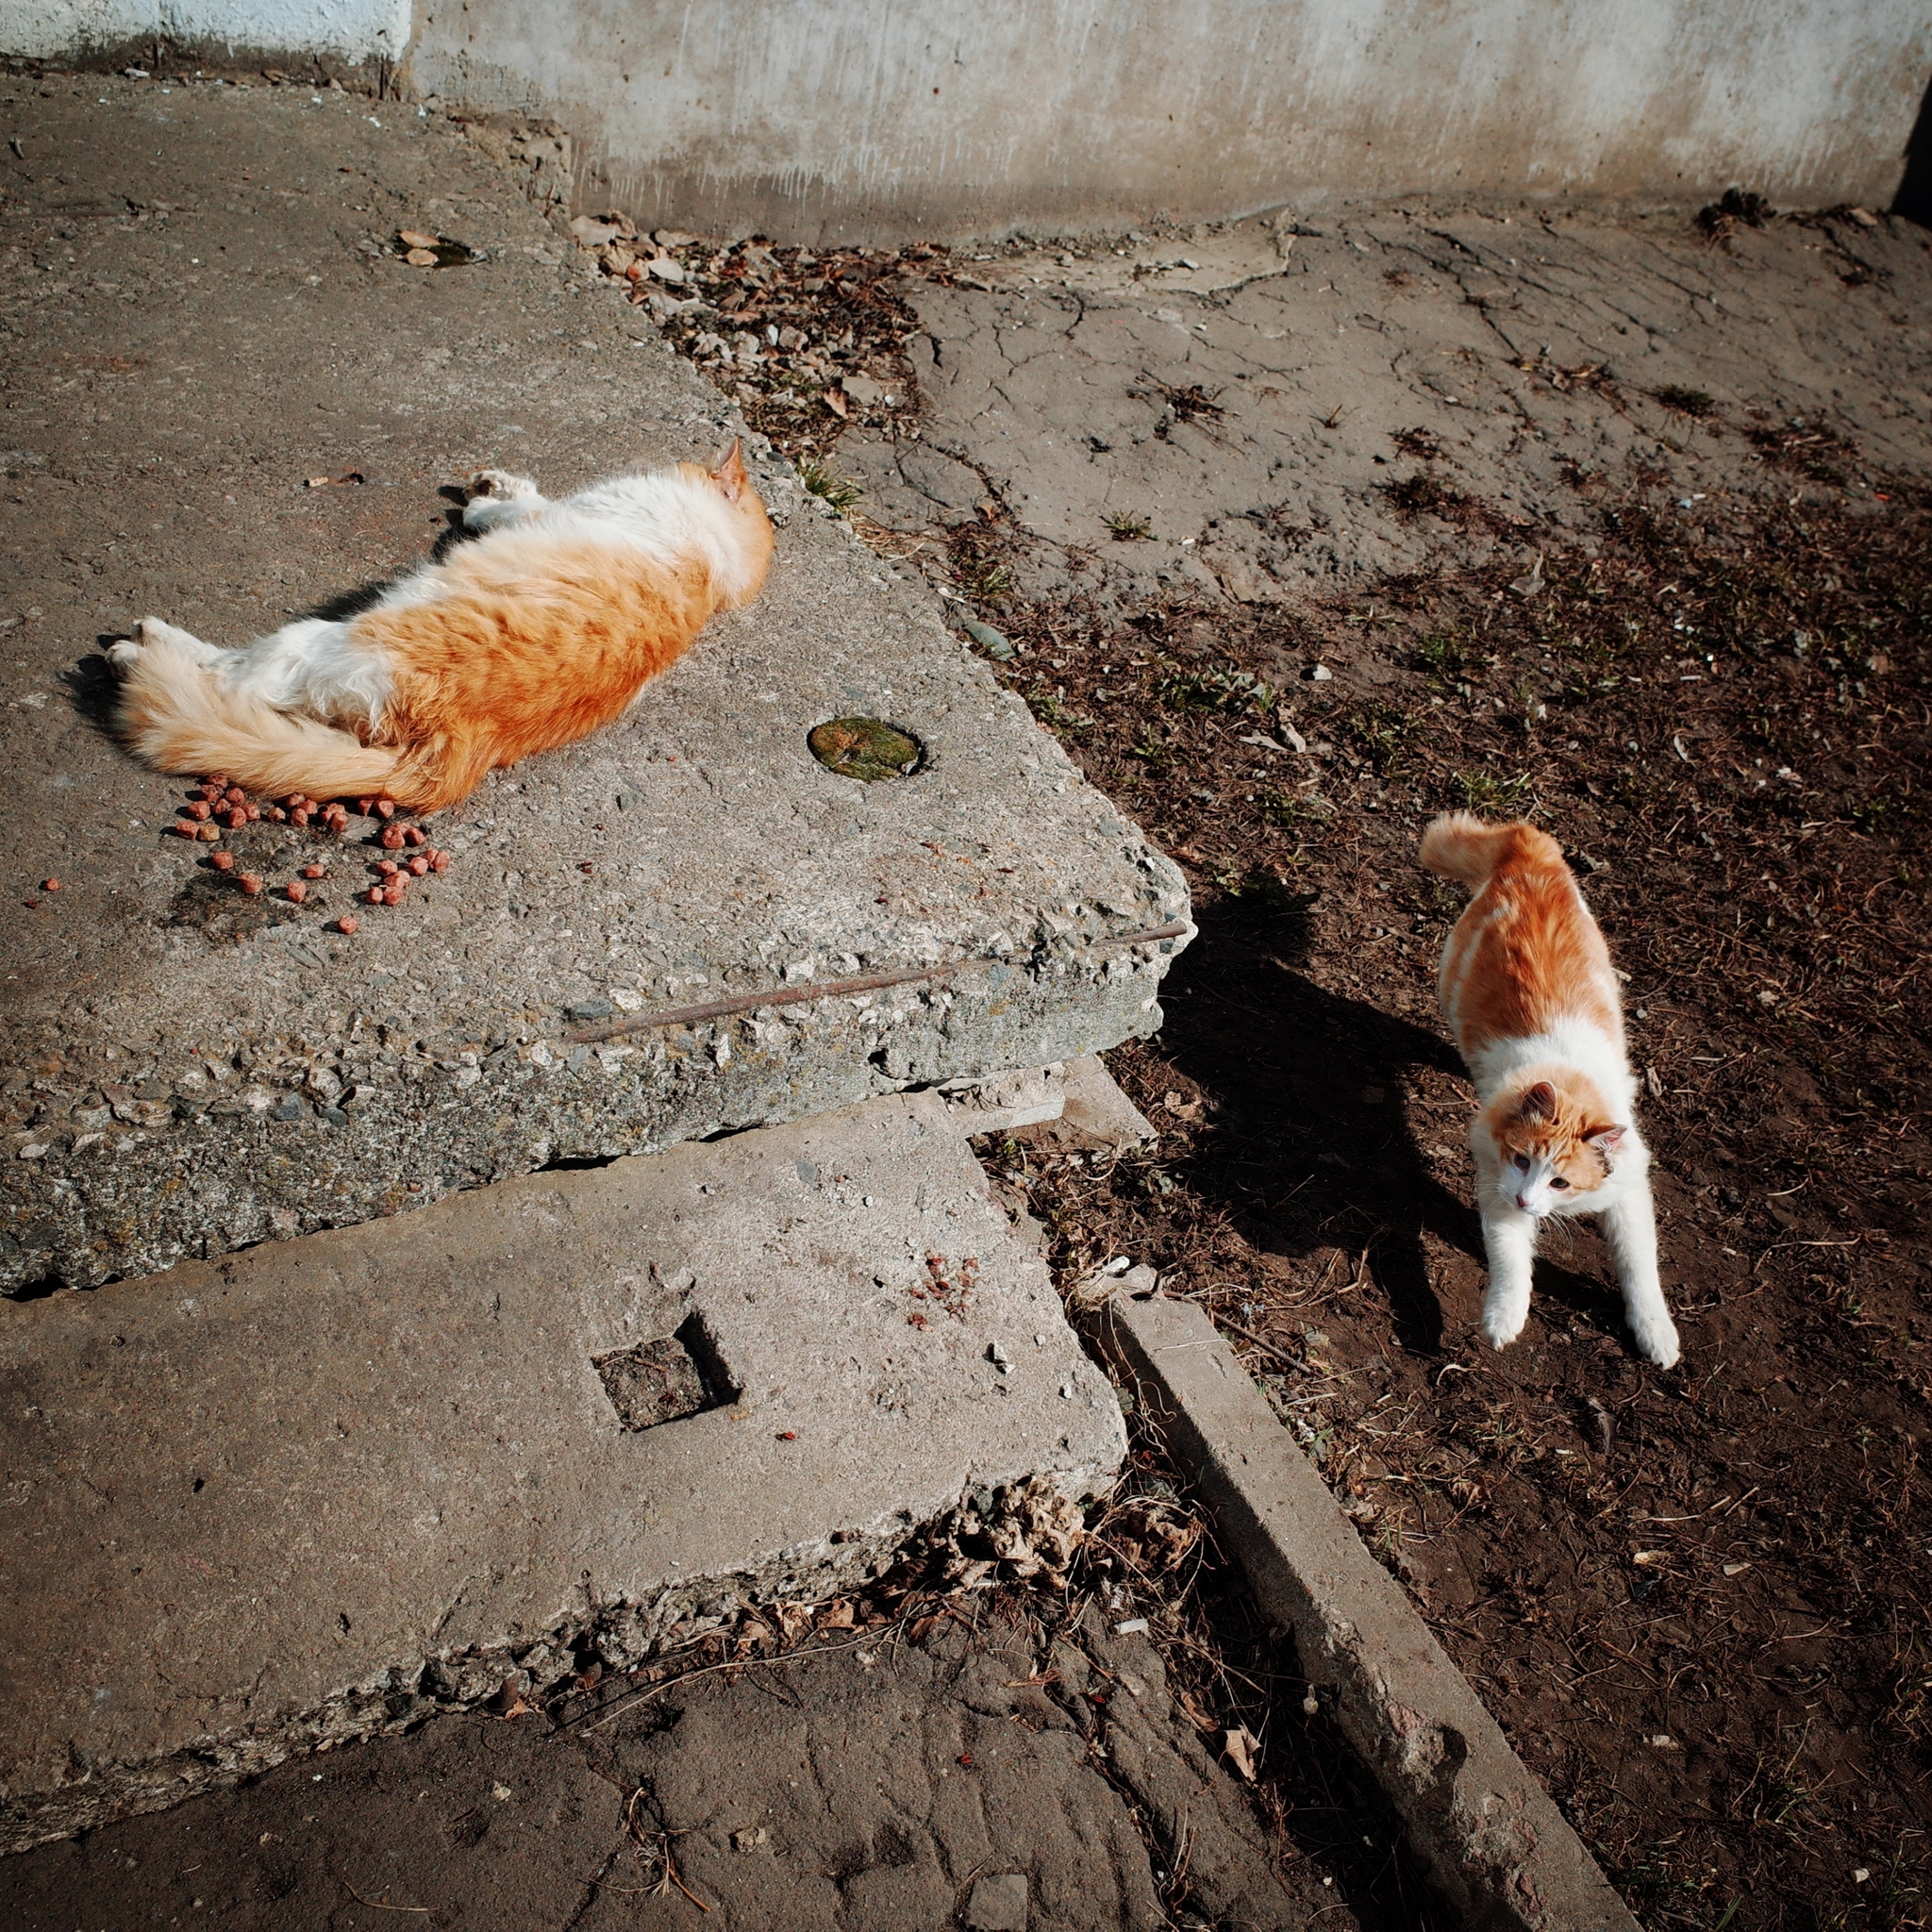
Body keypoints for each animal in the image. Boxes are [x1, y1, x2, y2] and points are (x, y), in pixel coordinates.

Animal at [109, 441, 773, 811]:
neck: (715, 564)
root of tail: (461, 742)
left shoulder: (555, 511)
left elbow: (514, 506)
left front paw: (484, 499)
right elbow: (518, 494)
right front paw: (490, 481)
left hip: (312, 642)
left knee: (231, 678)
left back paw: (141, 648)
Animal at [1422, 808, 1676, 1367]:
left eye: (1560, 1182)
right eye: (1522, 1160)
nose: (1527, 1200)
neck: (1570, 1081)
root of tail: (1529, 843)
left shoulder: (1629, 1193)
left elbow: (1640, 1268)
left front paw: (1656, 1334)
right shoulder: (1496, 1185)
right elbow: (1511, 1263)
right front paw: (1503, 1321)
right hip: (1450, 984)